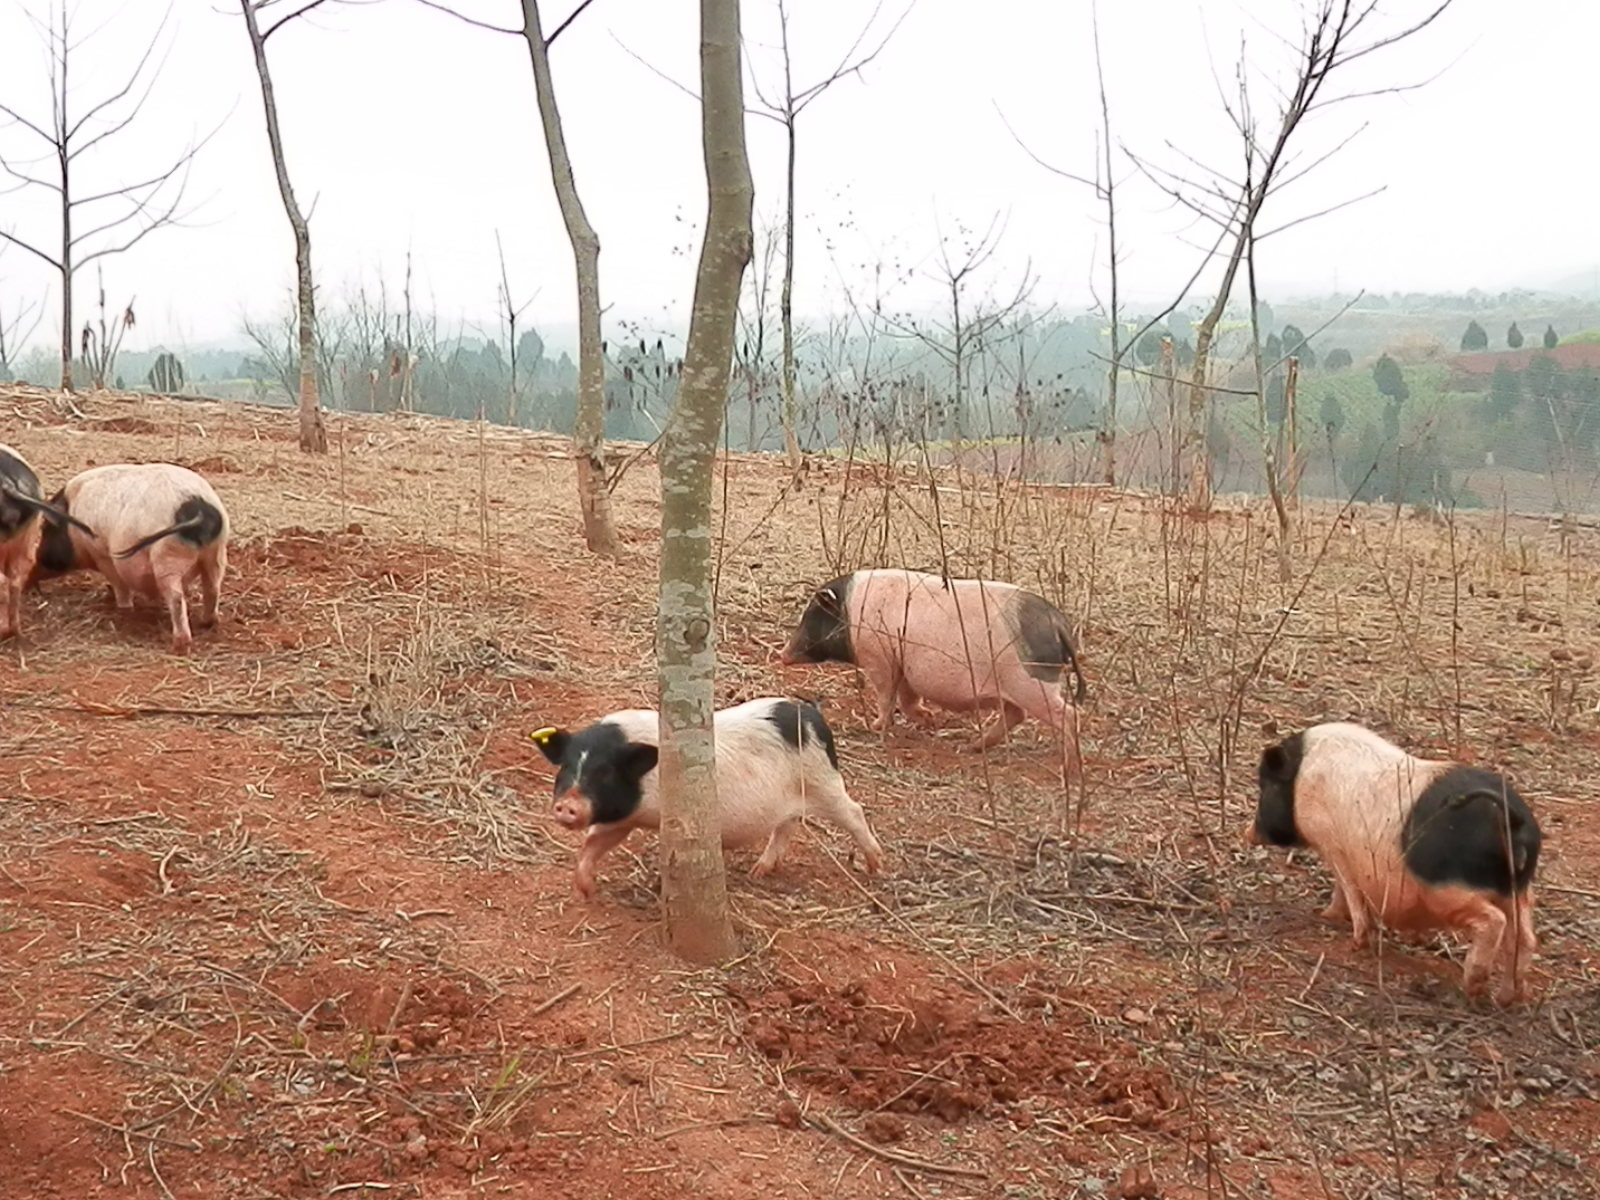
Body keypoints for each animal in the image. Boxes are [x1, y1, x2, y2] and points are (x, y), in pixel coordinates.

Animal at [35, 464, 228, 659]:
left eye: (45, 528)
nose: (35, 568)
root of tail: (199, 510)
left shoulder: (103, 555)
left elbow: (119, 584)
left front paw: (123, 609)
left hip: (167, 557)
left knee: (176, 598)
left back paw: (180, 646)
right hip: (216, 553)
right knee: (213, 588)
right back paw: (207, 623)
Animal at [528, 694, 889, 902]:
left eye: (603, 773)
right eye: (566, 767)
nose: (567, 805)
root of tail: (811, 713)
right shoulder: (624, 815)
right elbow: (593, 843)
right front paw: (587, 891)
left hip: (824, 781)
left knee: (854, 811)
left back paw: (876, 867)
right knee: (788, 823)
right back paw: (759, 872)